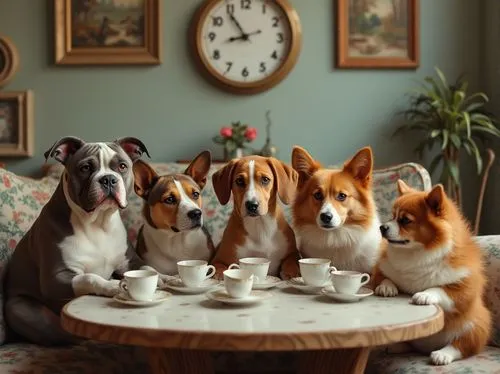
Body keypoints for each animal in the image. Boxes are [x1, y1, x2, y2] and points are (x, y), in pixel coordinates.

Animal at [376, 180, 488, 366]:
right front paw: (387, 287)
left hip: (475, 325)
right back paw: (394, 346)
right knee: (408, 343)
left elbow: (440, 288)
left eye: (405, 220)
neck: (416, 253)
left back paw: (442, 354)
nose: (382, 227)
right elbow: (383, 277)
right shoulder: (379, 268)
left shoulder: (464, 289)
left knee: (462, 345)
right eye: (392, 216)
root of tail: (425, 347)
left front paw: (424, 295)